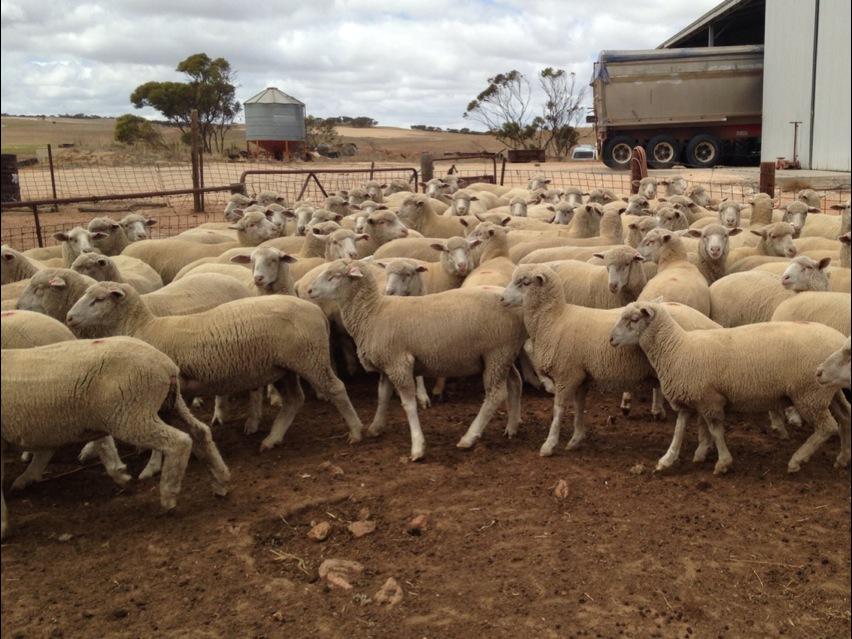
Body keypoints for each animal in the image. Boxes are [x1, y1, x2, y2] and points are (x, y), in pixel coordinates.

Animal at [1, 336, 232, 538]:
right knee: (200, 432)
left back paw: (169, 497)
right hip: (168, 404)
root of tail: (166, 365)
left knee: (179, 442)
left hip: (130, 413)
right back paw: (221, 482)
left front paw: (3, 526)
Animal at [66, 283, 364, 450]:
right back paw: (271, 440)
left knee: (336, 389)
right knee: (294, 400)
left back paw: (356, 431)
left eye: (98, 299)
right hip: (283, 367)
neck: (142, 327)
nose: (68, 317)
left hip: (309, 358)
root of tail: (315, 311)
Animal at [306, 260, 525, 459]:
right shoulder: (387, 364)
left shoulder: (399, 363)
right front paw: (375, 428)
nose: (309, 290)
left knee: (495, 395)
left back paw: (469, 438)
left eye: (333, 276)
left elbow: (409, 405)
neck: (373, 313)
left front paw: (418, 447)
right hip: (503, 354)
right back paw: (512, 426)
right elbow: (382, 396)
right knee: (515, 382)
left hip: (497, 352)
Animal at [500, 265, 719, 455]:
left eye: (524, 282)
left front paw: (549, 444)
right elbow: (579, 407)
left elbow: (558, 411)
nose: (501, 298)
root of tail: (710, 324)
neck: (553, 320)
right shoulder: (581, 375)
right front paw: (576, 438)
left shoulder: (566, 374)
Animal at [609, 301, 850, 473]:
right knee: (845, 418)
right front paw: (671, 458)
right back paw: (843, 458)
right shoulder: (694, 395)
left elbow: (715, 430)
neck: (676, 349)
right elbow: (684, 429)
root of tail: (837, 338)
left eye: (633, 319)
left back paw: (797, 460)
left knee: (827, 427)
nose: (611, 339)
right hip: (829, 391)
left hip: (809, 394)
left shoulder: (710, 400)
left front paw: (722, 462)